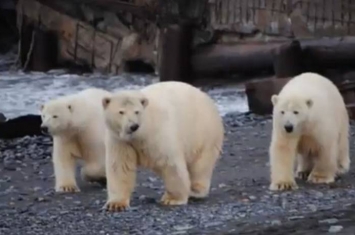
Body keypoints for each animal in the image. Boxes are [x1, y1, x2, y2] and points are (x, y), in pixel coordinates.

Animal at [101, 81, 225, 211]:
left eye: (137, 111)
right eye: (121, 112)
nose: (133, 126)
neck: (140, 133)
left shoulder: (157, 134)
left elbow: (170, 164)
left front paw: (172, 199)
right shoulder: (119, 140)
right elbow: (120, 166)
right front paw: (116, 204)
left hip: (204, 133)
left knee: (200, 165)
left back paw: (195, 191)